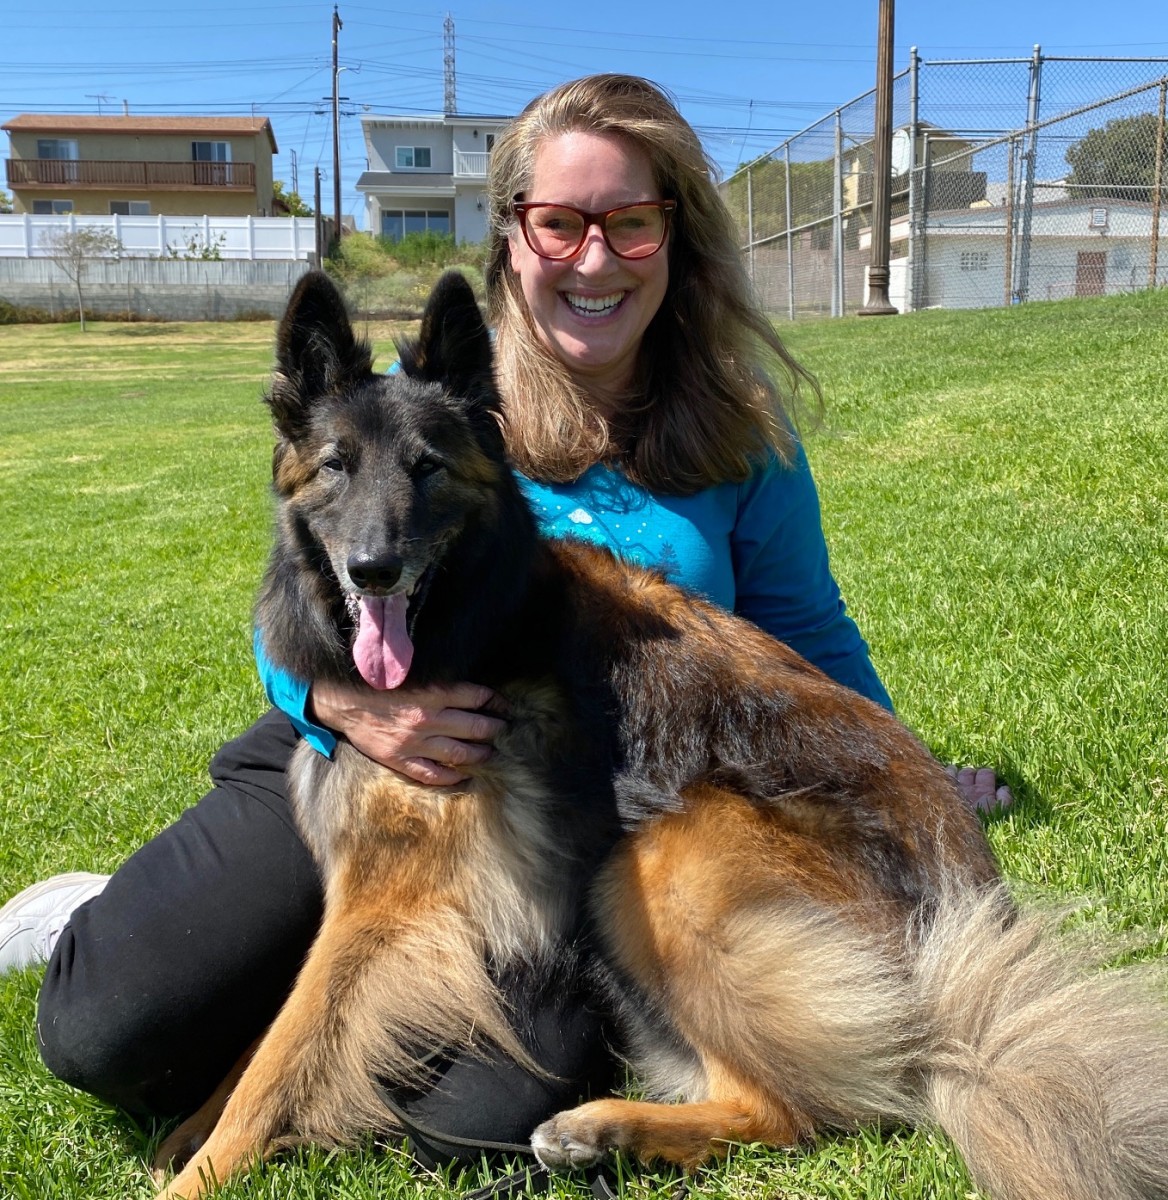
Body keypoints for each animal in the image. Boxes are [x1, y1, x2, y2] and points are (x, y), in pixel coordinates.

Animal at [154, 270, 1166, 1200]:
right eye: (335, 465)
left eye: (427, 467)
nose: (375, 568)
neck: (478, 610)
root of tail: (964, 949)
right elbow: (257, 1042)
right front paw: (185, 1126)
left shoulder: (389, 898)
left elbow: (284, 1053)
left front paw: (195, 1173)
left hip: (657, 860)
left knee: (798, 1111)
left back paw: (606, 1127)